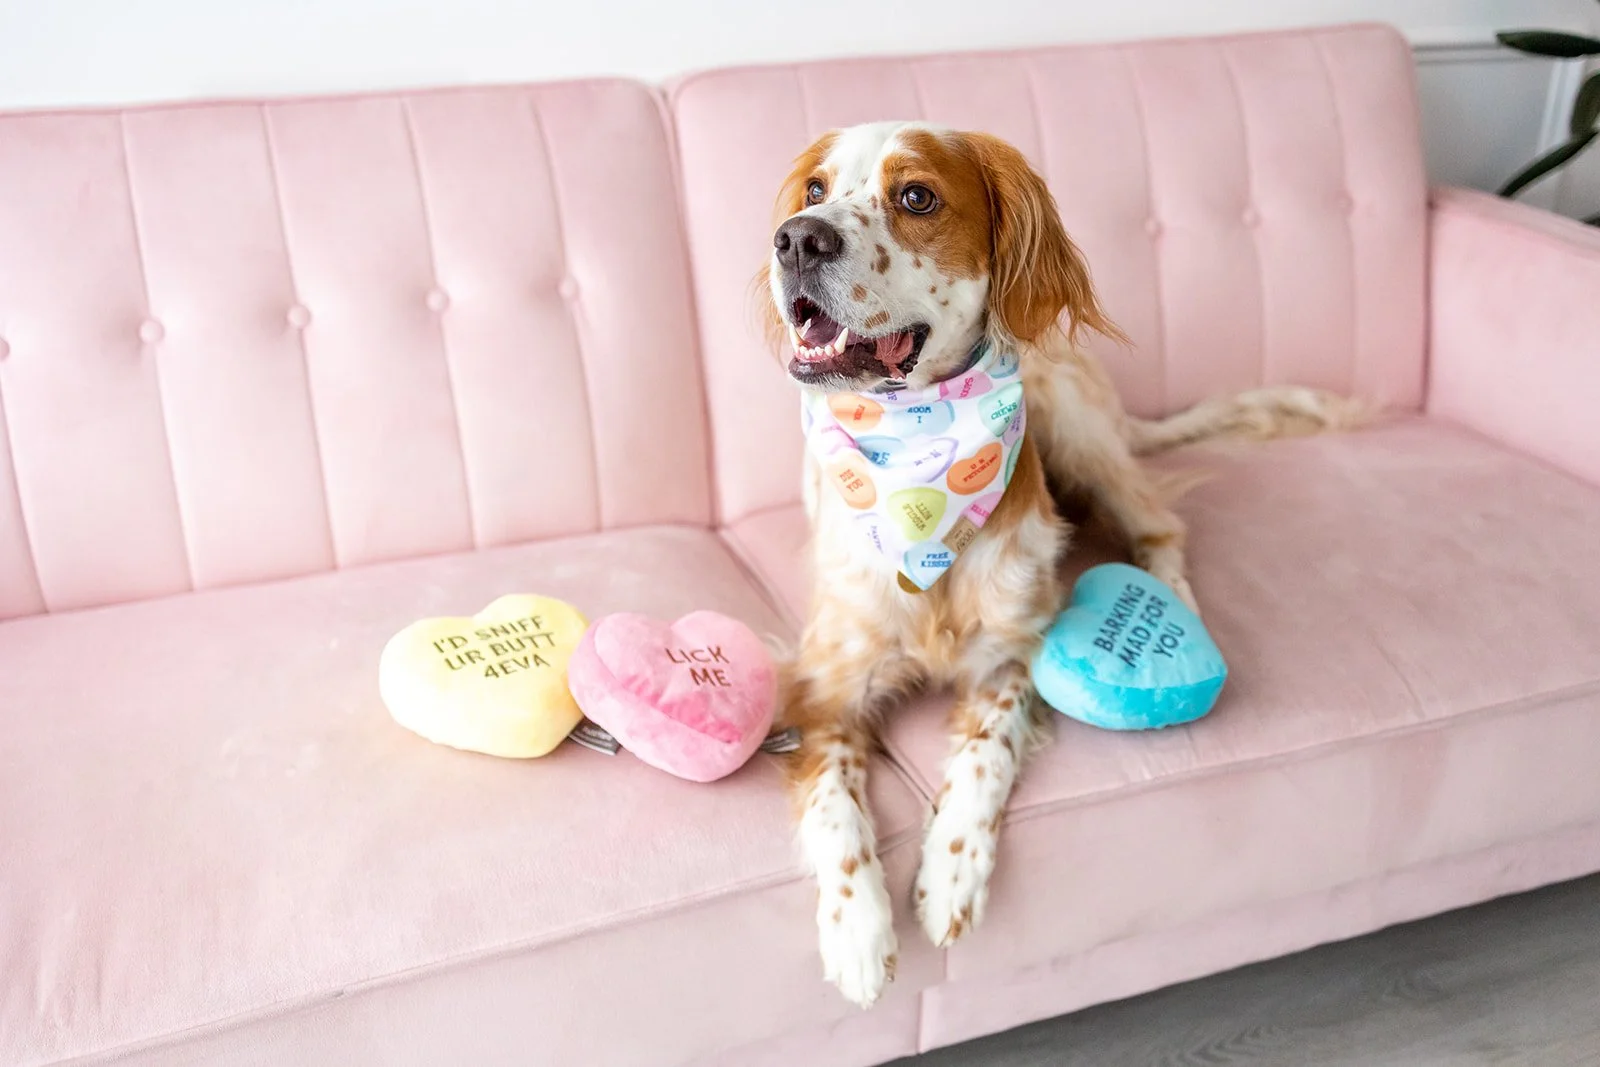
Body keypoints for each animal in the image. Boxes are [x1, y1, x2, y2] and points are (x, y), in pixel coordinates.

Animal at [759, 121, 1361, 1008]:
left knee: (1160, 523)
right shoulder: (825, 684)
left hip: (1077, 424)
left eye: (916, 196)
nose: (797, 240)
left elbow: (987, 751)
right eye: (813, 190)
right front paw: (859, 930)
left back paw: (1177, 599)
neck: (916, 474)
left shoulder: (1013, 656)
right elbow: (836, 800)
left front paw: (952, 872)